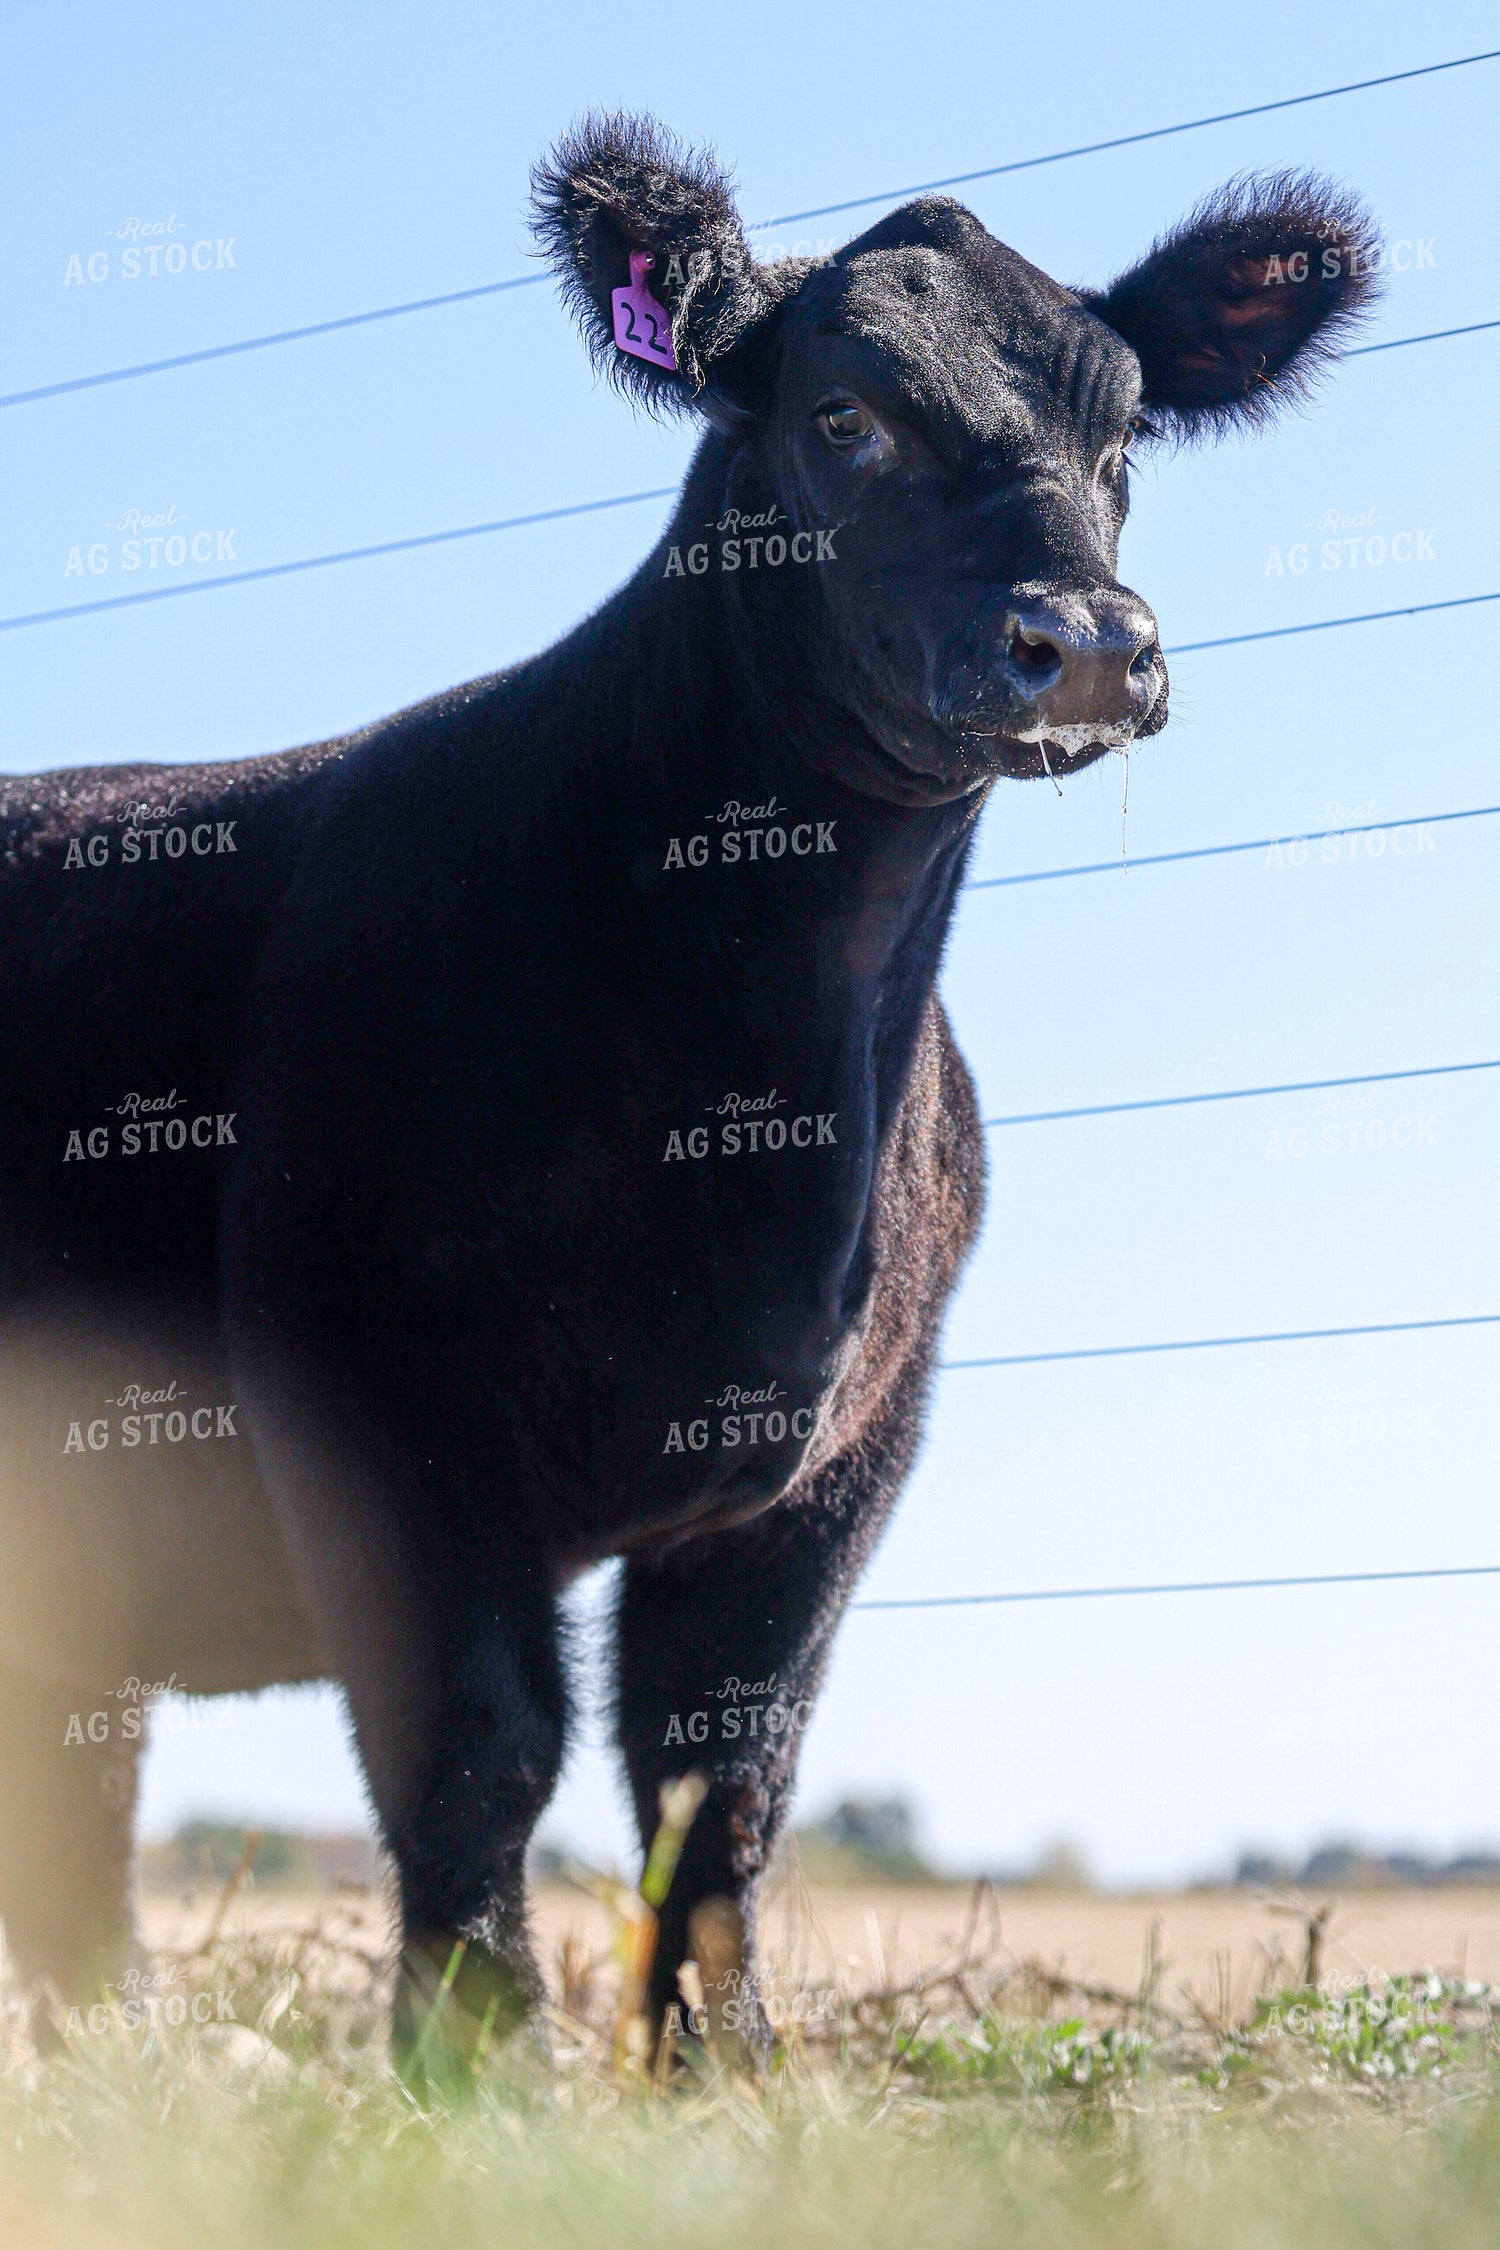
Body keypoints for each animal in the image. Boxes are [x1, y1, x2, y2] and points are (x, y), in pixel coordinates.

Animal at [0, 113, 1375, 2079]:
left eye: (1125, 440)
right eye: (846, 414)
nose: (1093, 643)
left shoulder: (842, 1454)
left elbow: (723, 1776)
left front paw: (726, 2075)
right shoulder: (374, 1403)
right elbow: (481, 1754)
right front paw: (481, 2072)